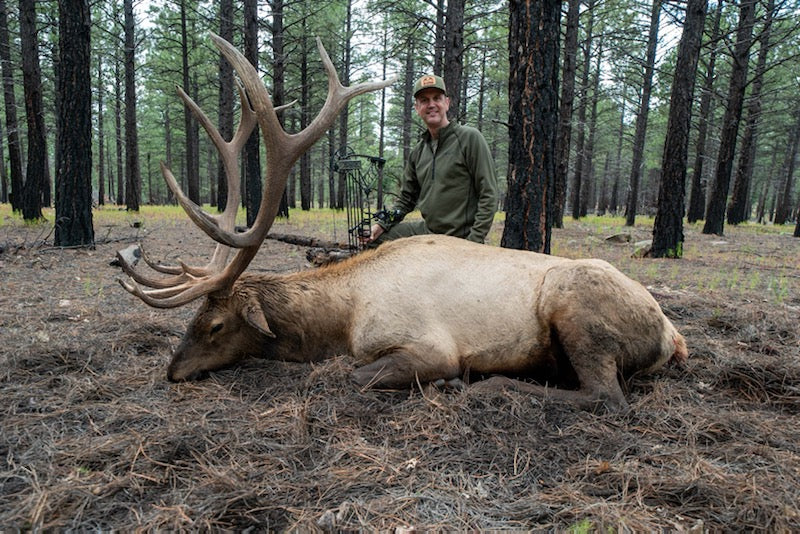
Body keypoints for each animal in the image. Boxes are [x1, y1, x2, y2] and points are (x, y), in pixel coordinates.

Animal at [117, 34, 688, 413]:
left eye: (214, 325)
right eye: (192, 321)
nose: (172, 371)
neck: (343, 315)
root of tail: (672, 335)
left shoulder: (429, 347)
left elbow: (350, 374)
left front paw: (445, 381)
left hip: (576, 309)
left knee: (606, 397)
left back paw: (485, 386)